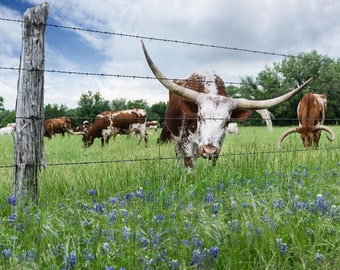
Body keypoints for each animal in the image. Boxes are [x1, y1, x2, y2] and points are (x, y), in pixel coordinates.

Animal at [140, 40, 310, 167]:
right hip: (176, 138)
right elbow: (189, 166)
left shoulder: (218, 146)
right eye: (200, 117)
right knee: (179, 157)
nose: (208, 150)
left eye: (227, 121)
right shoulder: (187, 142)